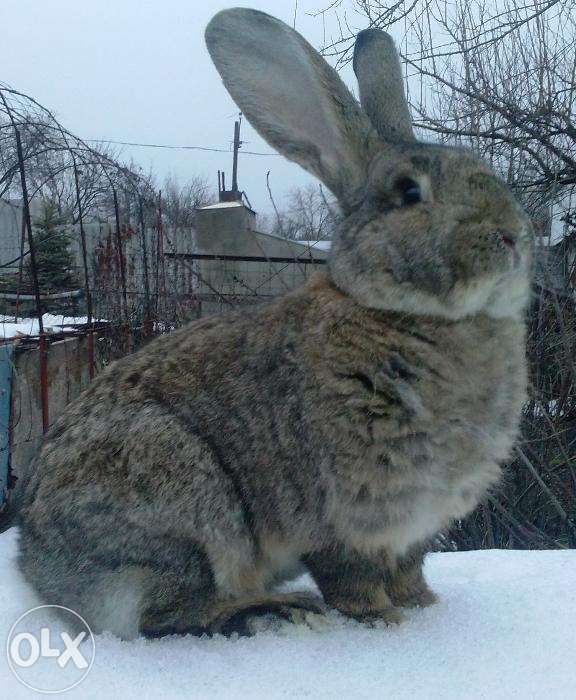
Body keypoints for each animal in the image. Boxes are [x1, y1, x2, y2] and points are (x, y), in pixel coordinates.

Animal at [5, 6, 536, 640]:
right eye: (408, 192)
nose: (512, 236)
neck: (409, 312)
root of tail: (41, 568)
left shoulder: (414, 527)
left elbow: (409, 569)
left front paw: (422, 606)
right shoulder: (343, 511)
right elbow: (351, 576)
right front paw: (382, 621)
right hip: (179, 499)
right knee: (166, 613)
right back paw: (273, 611)